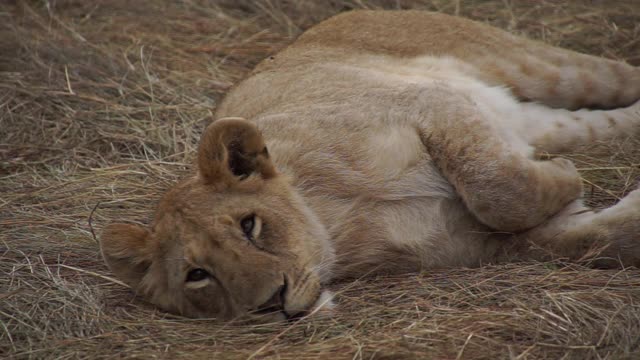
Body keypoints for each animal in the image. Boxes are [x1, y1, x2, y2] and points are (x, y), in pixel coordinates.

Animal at [99, 11, 640, 322]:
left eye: (249, 225)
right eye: (197, 275)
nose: (271, 303)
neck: (343, 223)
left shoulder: (431, 102)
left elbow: (498, 189)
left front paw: (566, 174)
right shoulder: (493, 244)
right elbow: (590, 239)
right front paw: (587, 193)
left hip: (536, 66)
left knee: (619, 74)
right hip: (549, 119)